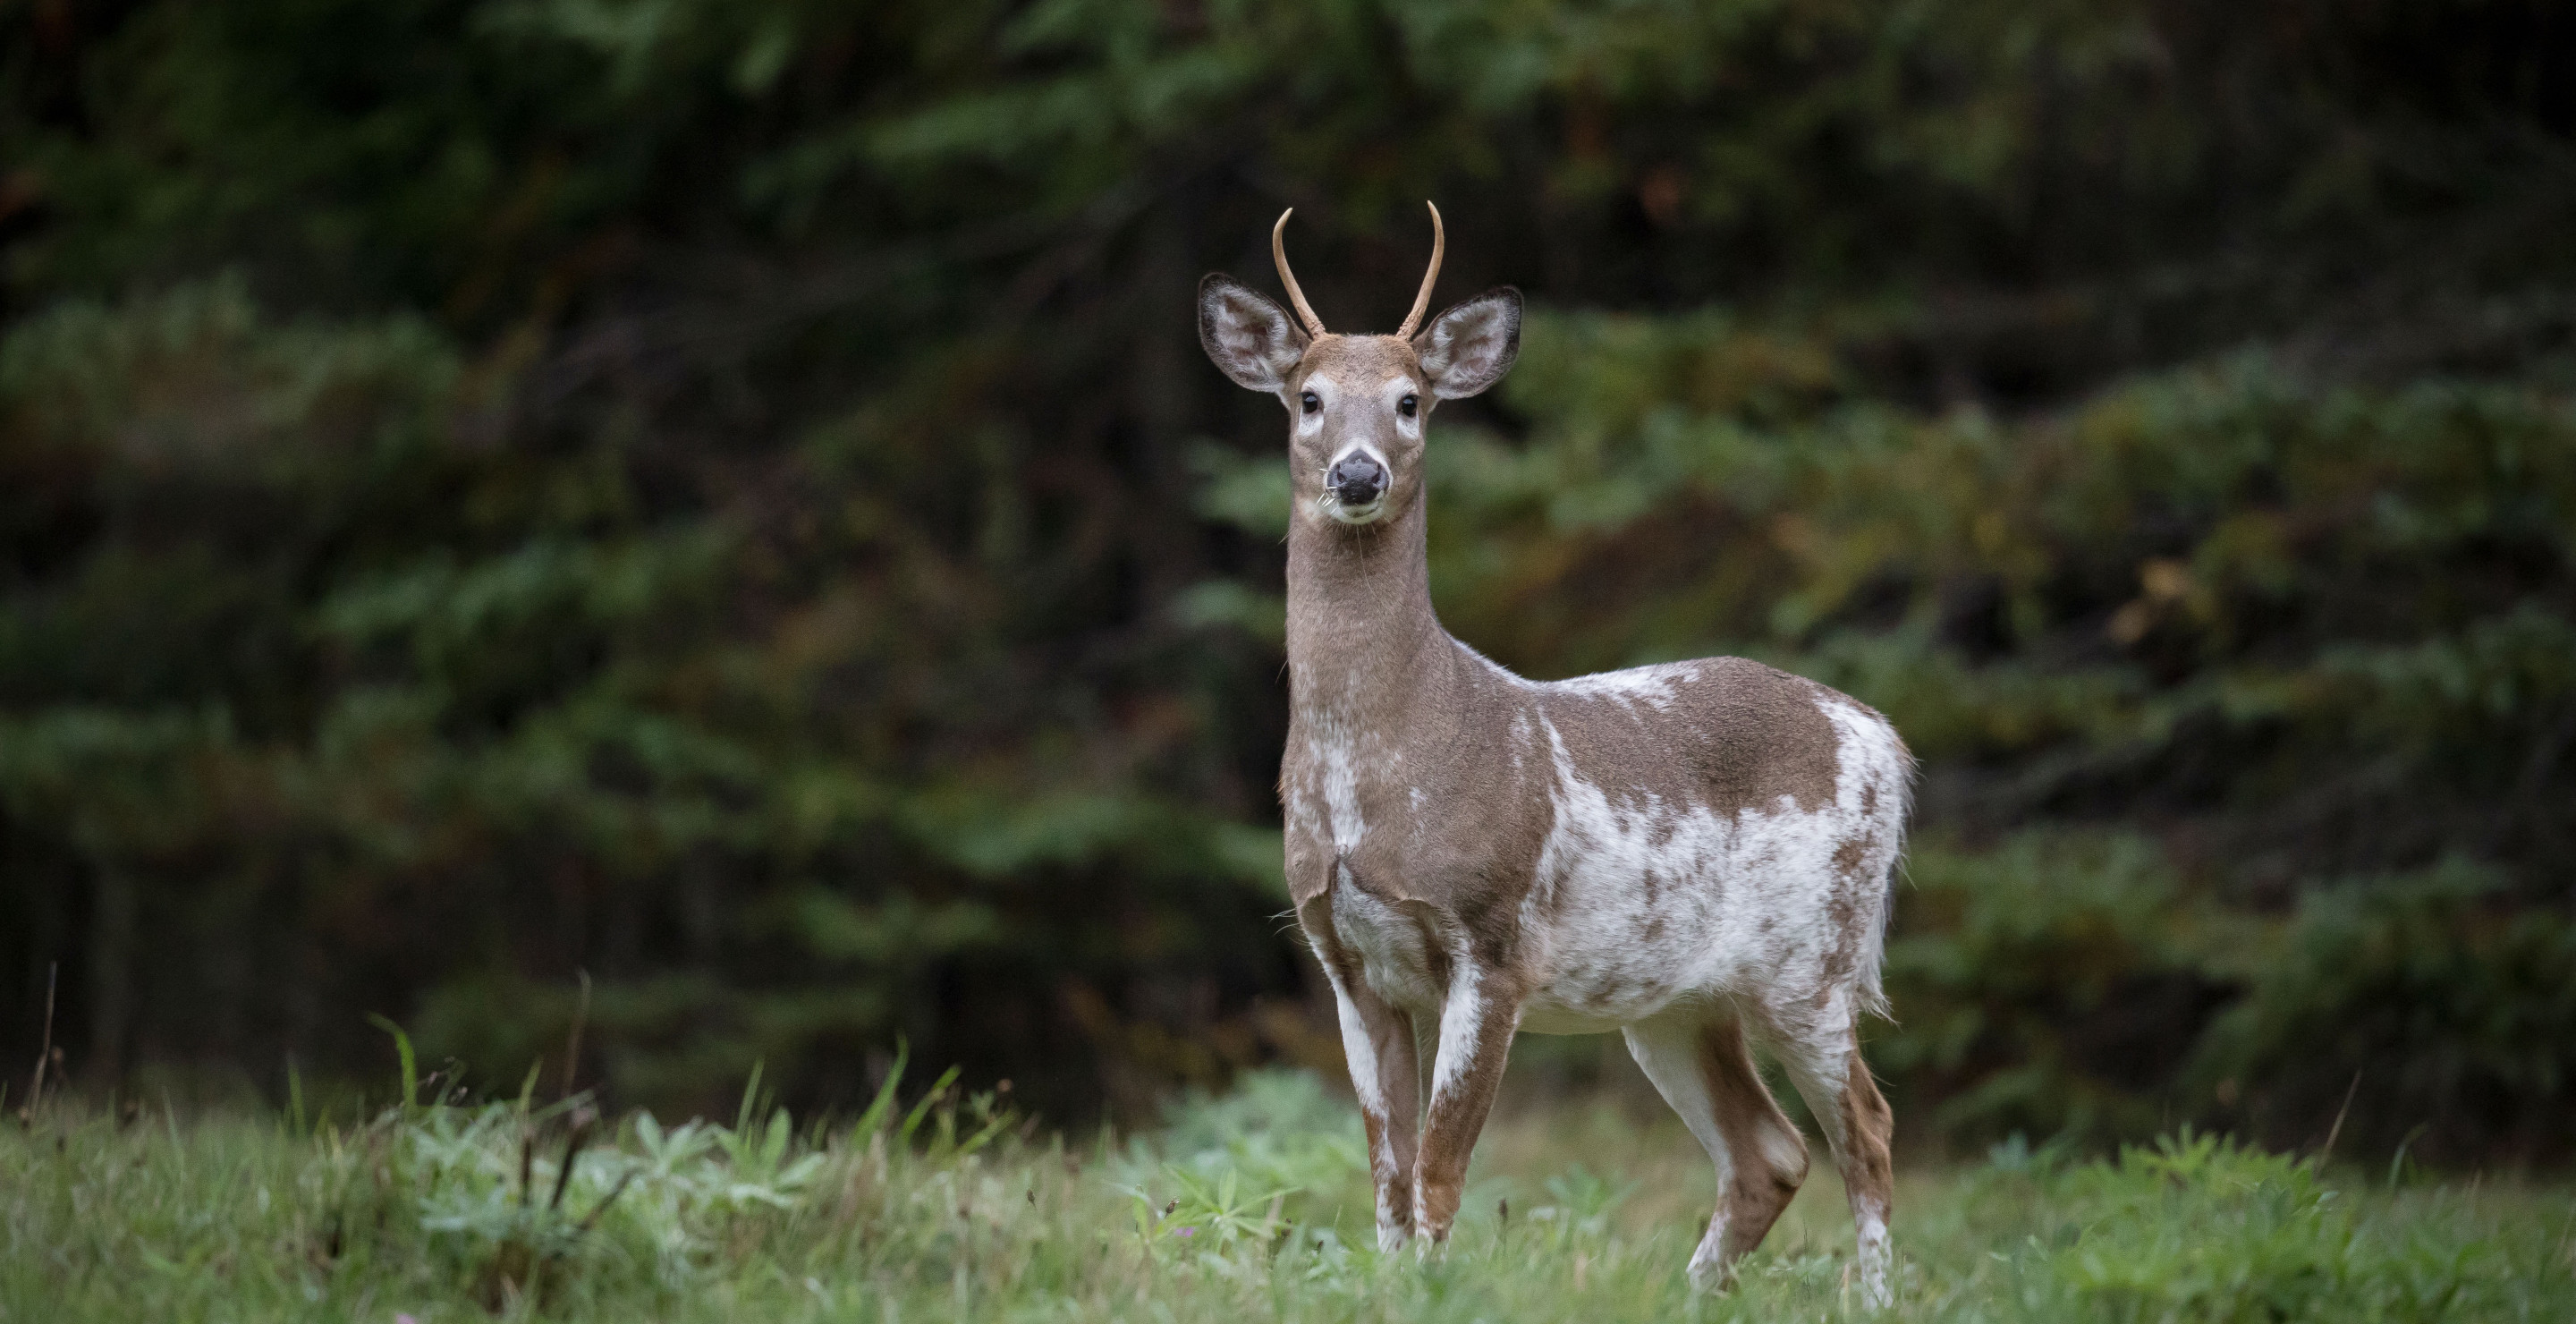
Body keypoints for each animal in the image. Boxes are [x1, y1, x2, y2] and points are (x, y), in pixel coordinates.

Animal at [1195, 203, 1906, 1298]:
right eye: (1308, 398)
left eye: (1410, 401)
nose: (1357, 473)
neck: (1383, 769)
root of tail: (1881, 735)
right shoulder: (1343, 955)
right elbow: (1386, 1173)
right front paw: (1392, 1289)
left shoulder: (1492, 940)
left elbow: (1441, 1170)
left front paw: (1433, 1294)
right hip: (1672, 998)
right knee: (1770, 1152)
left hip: (1813, 956)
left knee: (1866, 1128)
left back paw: (1864, 1296)